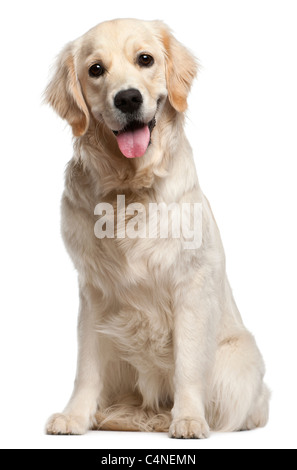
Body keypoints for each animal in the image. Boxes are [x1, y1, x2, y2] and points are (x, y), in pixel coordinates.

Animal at [45, 17, 270, 436]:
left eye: (145, 59)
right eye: (95, 69)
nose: (128, 99)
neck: (129, 190)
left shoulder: (191, 287)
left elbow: (187, 366)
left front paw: (188, 418)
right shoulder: (93, 291)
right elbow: (87, 365)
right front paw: (75, 414)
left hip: (237, 361)